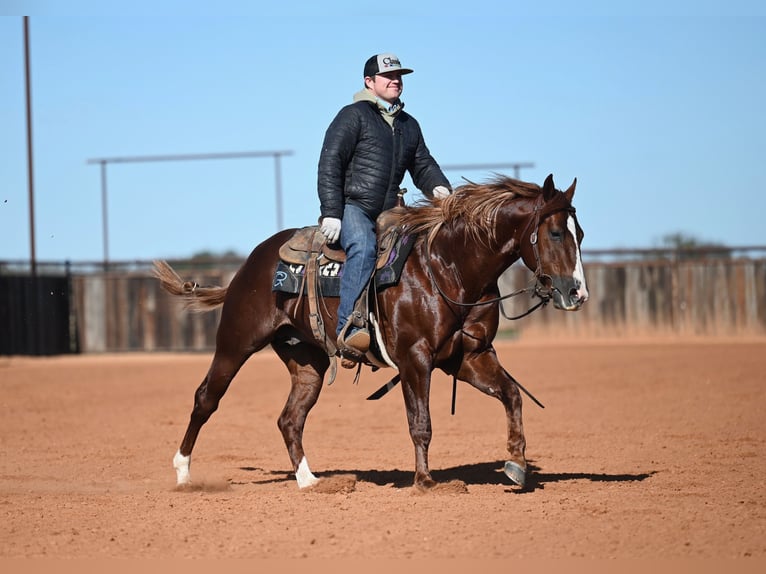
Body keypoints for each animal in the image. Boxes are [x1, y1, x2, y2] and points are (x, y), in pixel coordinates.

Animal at [154, 173, 588, 490]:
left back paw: (310, 481)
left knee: (289, 419)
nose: (577, 292)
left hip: (306, 361)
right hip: (236, 343)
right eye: (555, 233)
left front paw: (516, 463)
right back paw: (183, 473)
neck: (447, 267)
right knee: (206, 399)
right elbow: (421, 422)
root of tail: (248, 265)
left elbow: (512, 395)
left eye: (580, 234)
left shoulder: (468, 357)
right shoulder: (415, 359)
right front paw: (426, 481)